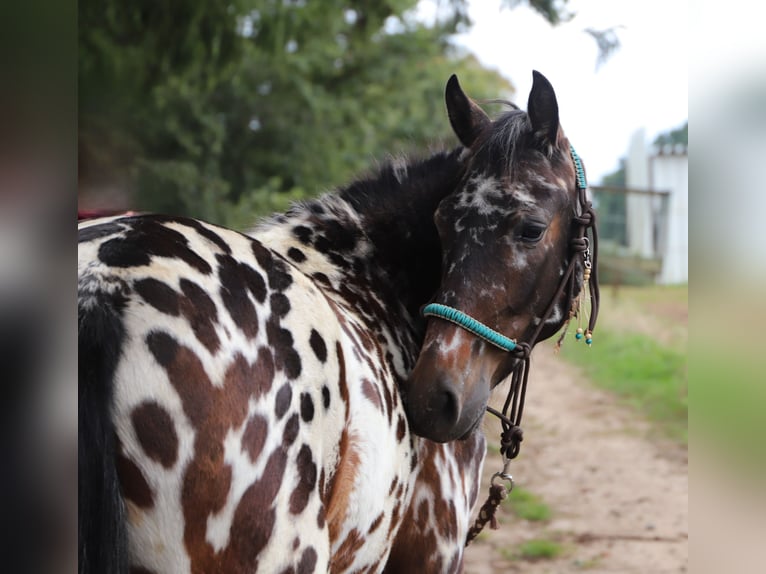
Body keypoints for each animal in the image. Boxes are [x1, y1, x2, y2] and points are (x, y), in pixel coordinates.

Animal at [78, 71, 598, 573]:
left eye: (531, 229)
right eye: (442, 223)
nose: (434, 400)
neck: (368, 281)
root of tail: (107, 281)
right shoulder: (432, 556)